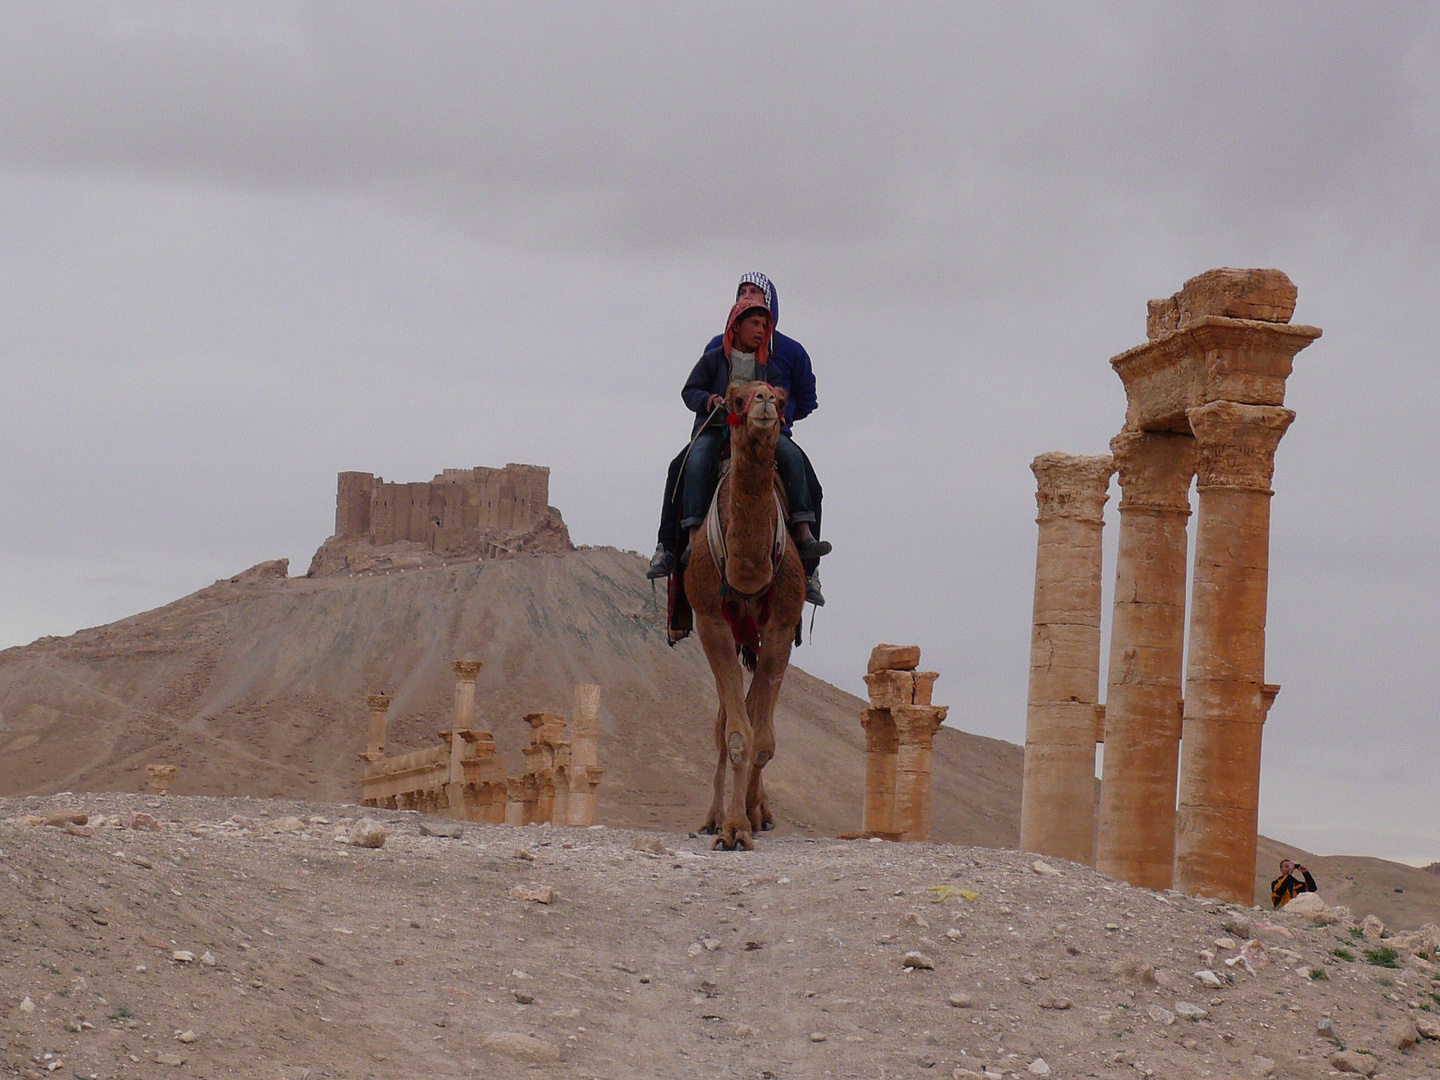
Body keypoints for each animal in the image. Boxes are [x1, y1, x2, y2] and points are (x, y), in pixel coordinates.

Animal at [685, 380, 812, 852]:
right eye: (735, 398)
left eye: (780, 395)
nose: (765, 404)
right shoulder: (710, 620)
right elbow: (737, 734)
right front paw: (732, 828)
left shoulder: (780, 627)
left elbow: (763, 739)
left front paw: (752, 818)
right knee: (723, 720)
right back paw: (713, 818)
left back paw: (760, 811)